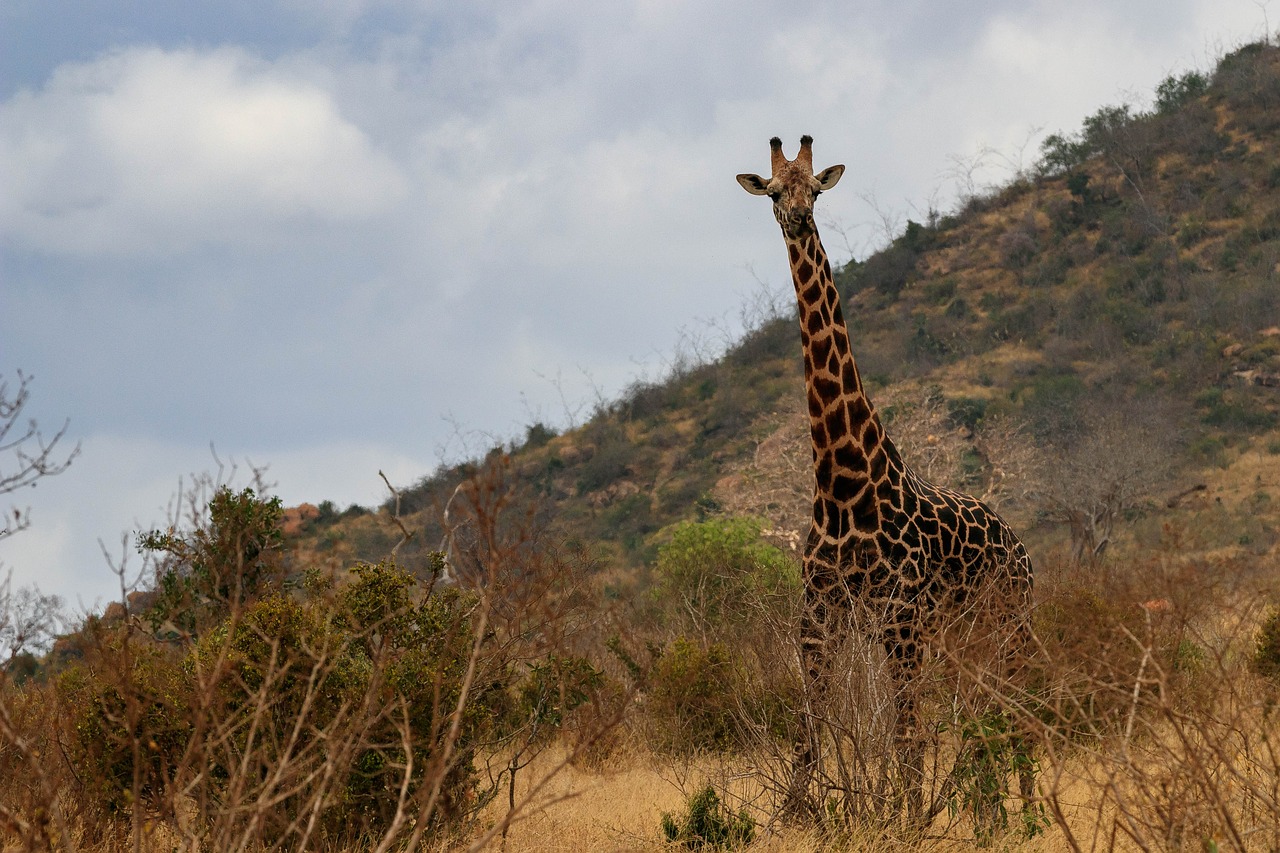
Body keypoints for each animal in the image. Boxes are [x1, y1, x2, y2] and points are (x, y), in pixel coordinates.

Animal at [737, 136, 1034, 819]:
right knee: (987, 713)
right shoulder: (820, 615)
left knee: (1022, 710)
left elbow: (904, 732)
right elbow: (811, 728)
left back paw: (1029, 814)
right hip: (963, 638)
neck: (842, 482)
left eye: (815, 189)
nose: (797, 219)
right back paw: (999, 812)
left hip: (1009, 622)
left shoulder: (900, 618)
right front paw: (796, 817)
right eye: (772, 190)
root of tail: (1021, 545)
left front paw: (909, 819)